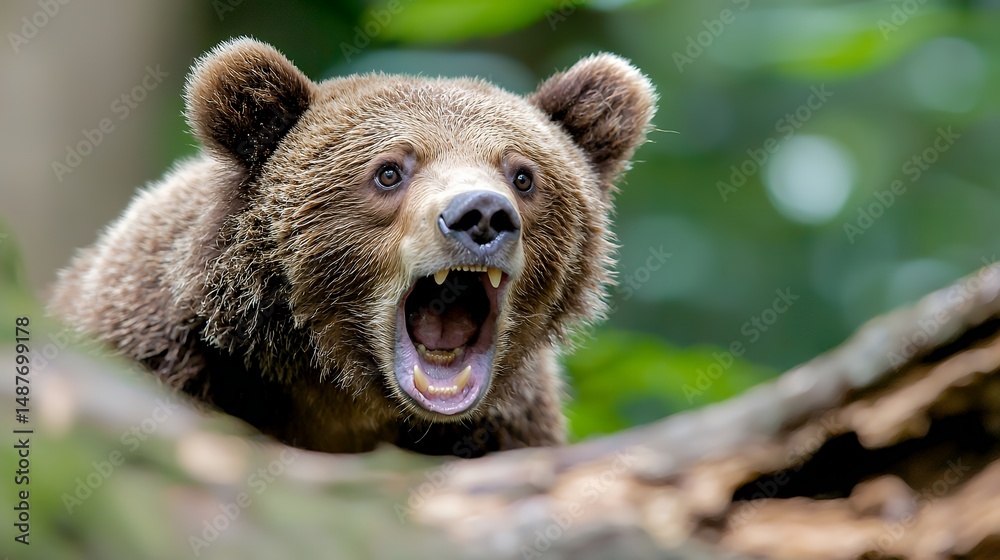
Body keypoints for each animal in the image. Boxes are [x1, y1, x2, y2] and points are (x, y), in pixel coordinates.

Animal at [49, 38, 656, 456]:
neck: (338, 393)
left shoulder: (504, 427)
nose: (482, 214)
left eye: (523, 176)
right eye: (389, 171)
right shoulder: (163, 352)